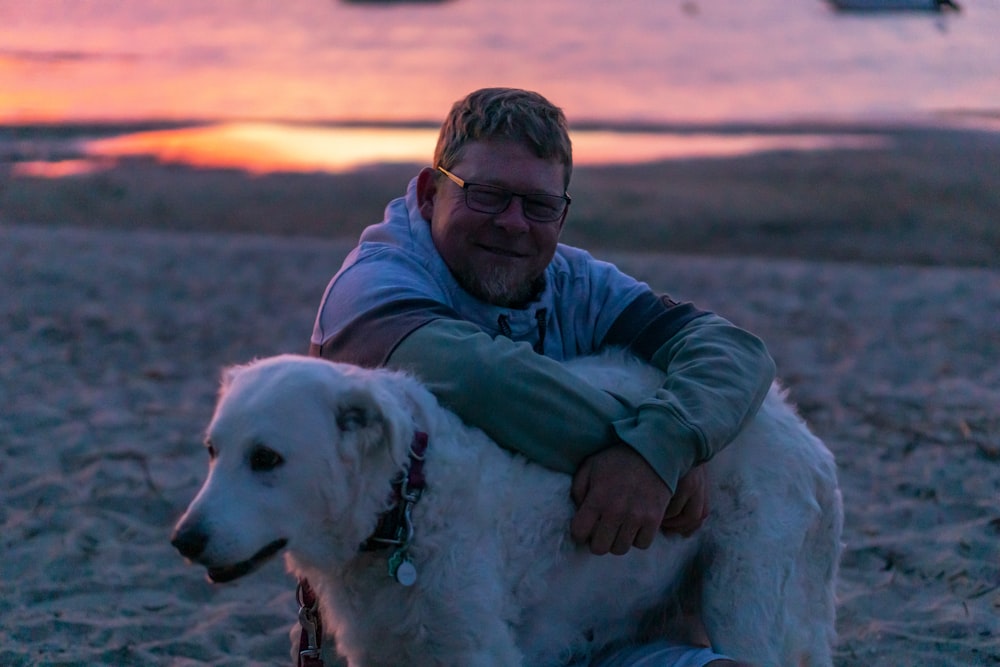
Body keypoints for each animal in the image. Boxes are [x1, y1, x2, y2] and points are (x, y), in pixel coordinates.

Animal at [174, 352, 844, 664]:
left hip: (744, 604)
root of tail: (806, 440)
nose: (184, 540)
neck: (406, 503)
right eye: (212, 451)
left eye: (266, 459)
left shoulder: (477, 651)